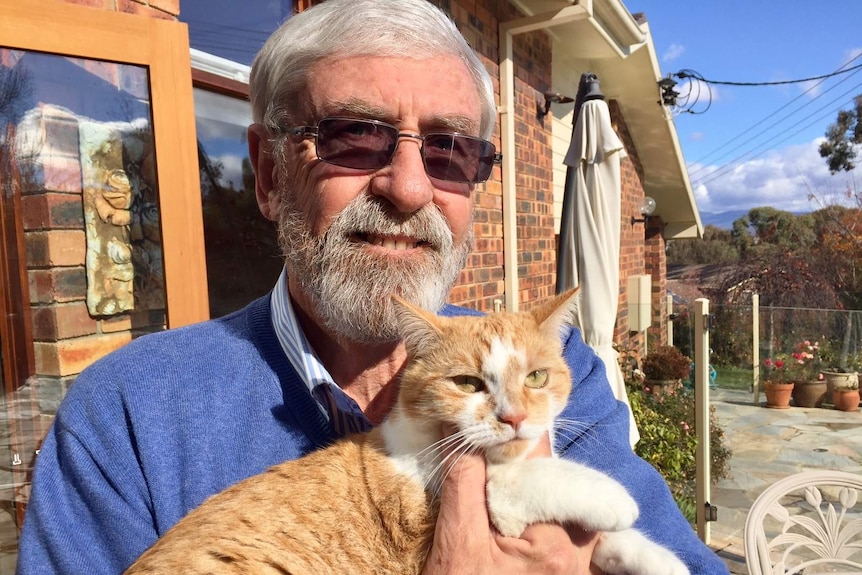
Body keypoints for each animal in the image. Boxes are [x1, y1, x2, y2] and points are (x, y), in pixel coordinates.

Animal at [125, 292, 688, 575]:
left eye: (535, 377)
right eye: (467, 383)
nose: (513, 418)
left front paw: (654, 558)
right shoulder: (432, 517)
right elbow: (521, 481)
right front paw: (611, 497)